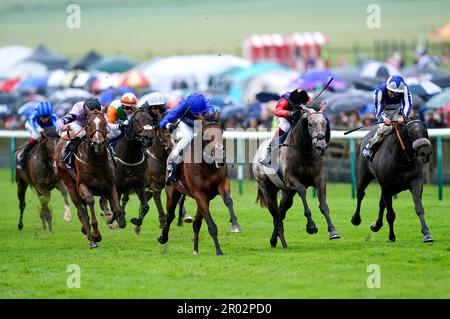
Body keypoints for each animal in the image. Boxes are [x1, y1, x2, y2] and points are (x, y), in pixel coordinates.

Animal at [55, 111, 124, 249]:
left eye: (104, 123)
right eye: (89, 124)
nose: (98, 143)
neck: (96, 160)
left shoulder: (110, 186)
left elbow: (117, 210)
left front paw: (109, 219)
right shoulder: (82, 185)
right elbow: (90, 203)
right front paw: (96, 234)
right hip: (69, 183)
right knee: (81, 210)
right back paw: (91, 240)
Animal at [158, 119, 243, 256]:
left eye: (222, 133)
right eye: (207, 136)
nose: (220, 157)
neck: (206, 166)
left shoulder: (222, 184)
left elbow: (228, 201)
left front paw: (235, 225)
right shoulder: (199, 194)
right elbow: (211, 226)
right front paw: (219, 251)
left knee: (196, 224)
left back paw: (195, 250)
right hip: (172, 192)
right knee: (170, 216)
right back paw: (163, 237)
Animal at [253, 105, 342, 250]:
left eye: (325, 123)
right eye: (310, 124)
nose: (321, 146)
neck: (304, 152)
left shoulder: (320, 179)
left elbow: (323, 206)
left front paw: (333, 231)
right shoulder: (291, 180)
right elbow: (302, 190)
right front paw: (311, 226)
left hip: (287, 194)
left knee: (281, 213)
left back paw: (274, 240)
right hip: (267, 189)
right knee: (276, 215)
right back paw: (283, 243)